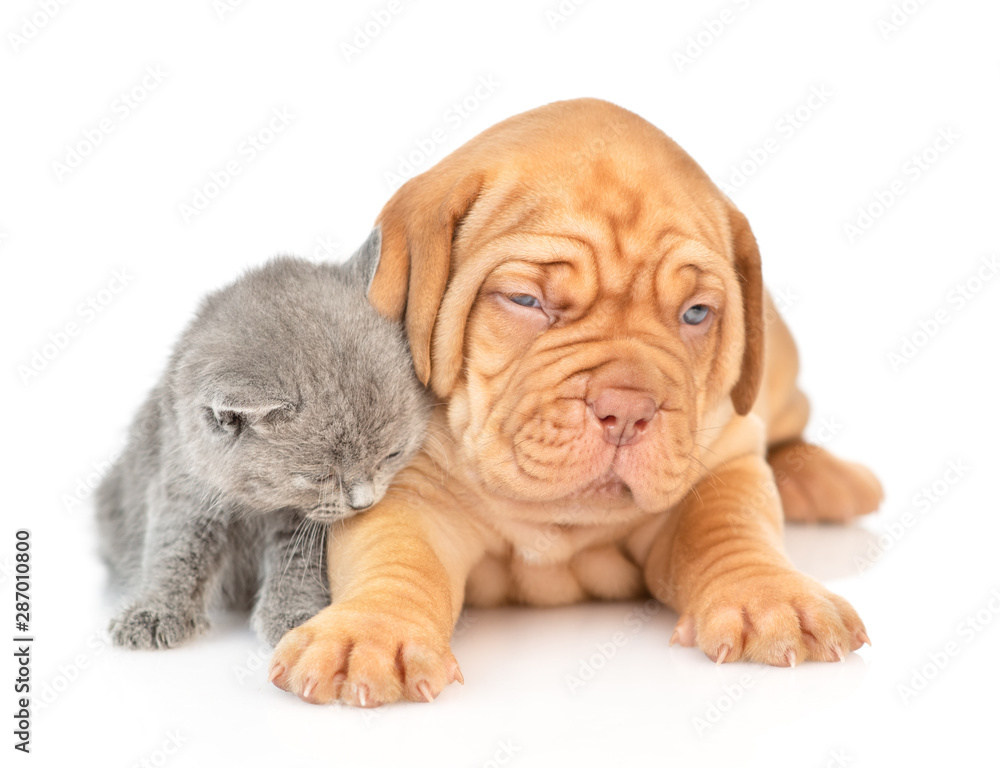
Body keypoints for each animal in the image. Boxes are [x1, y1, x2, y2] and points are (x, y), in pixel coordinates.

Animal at [95, 230, 432, 648]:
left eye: (392, 455)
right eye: (320, 476)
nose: (364, 504)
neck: (257, 504)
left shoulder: (308, 521)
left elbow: (299, 557)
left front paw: (294, 616)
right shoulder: (183, 475)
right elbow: (174, 545)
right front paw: (154, 611)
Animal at [270, 97, 880, 708]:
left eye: (696, 314)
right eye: (524, 300)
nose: (628, 409)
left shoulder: (724, 462)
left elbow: (729, 527)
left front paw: (771, 597)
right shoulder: (404, 488)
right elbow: (396, 558)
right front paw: (370, 632)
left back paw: (819, 478)